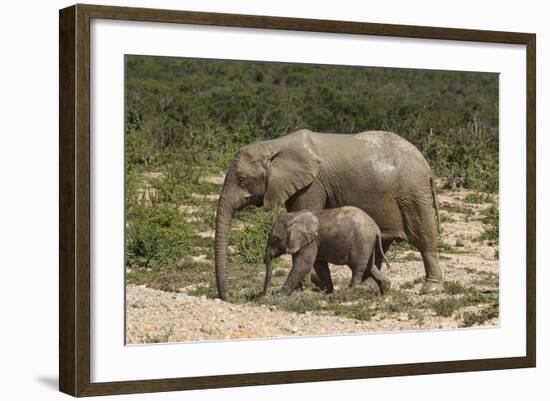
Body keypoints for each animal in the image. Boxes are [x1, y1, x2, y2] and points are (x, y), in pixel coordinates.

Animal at [264, 206, 392, 294]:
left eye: (275, 239)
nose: (262, 295)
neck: (295, 216)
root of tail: (376, 228)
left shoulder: (311, 242)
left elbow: (303, 264)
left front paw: (280, 295)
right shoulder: (309, 242)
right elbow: (320, 266)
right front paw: (328, 293)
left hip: (361, 241)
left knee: (357, 267)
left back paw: (350, 291)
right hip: (367, 244)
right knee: (370, 266)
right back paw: (384, 291)